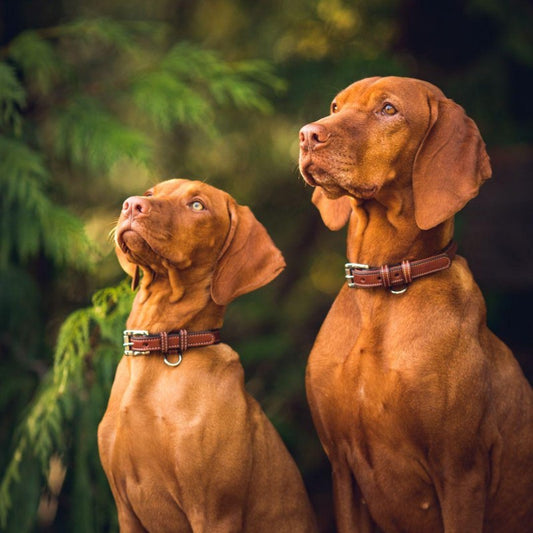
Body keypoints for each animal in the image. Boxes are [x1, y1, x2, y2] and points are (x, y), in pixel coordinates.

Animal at [98, 180, 318, 532]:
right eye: (150, 194)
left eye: (197, 205)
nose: (131, 205)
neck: (165, 347)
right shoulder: (125, 511)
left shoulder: (214, 512)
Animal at [300, 76, 532, 532]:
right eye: (335, 106)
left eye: (388, 110)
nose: (307, 135)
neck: (384, 286)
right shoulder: (341, 468)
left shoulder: (460, 471)